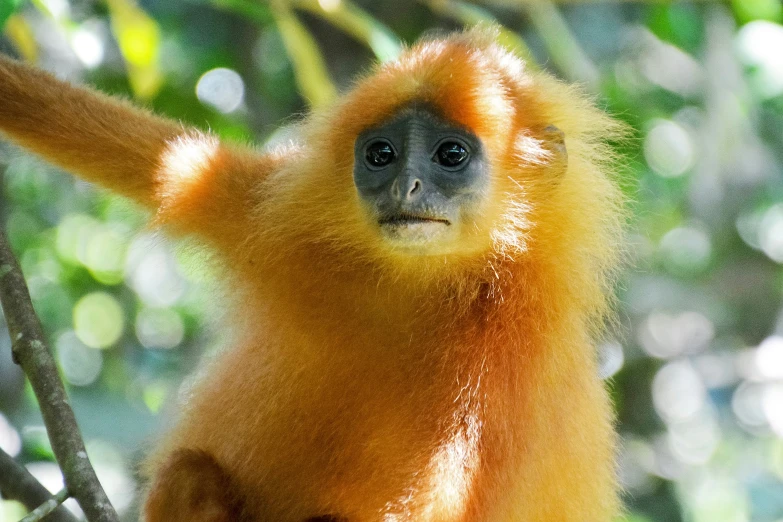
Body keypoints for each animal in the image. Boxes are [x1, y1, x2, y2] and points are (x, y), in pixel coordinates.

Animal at [0, 28, 624, 520]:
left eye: (451, 155)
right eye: (381, 155)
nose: (406, 187)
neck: (415, 284)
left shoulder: (515, 353)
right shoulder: (274, 220)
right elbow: (152, 160)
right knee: (188, 474)